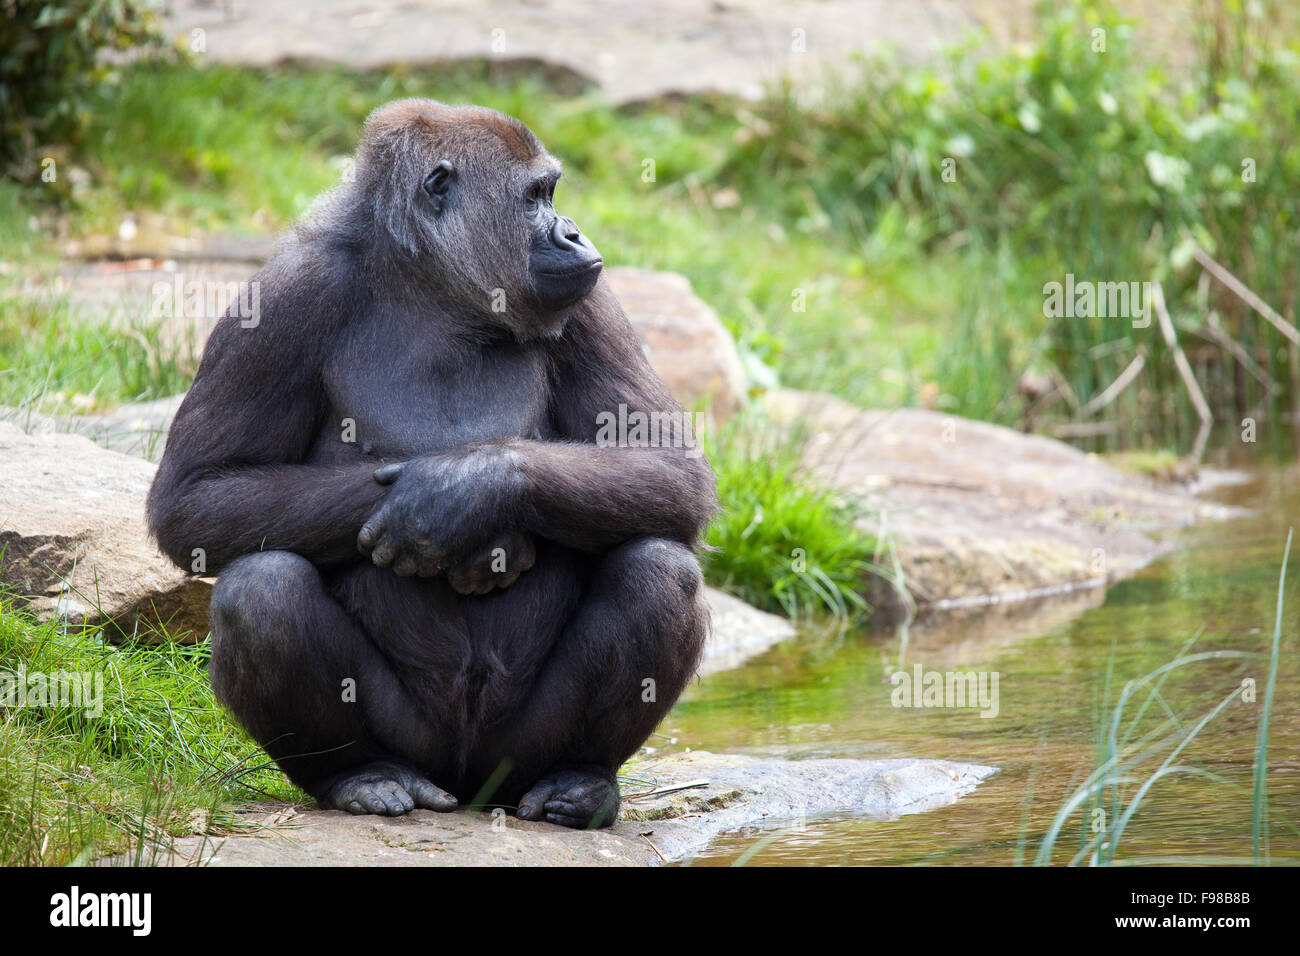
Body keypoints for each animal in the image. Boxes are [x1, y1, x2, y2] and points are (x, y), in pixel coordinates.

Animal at [152, 98, 722, 832]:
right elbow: (197, 498)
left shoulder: (591, 300)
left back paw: (580, 779)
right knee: (261, 590)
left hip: (513, 758)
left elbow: (667, 465)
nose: (573, 232)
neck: (433, 290)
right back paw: (361, 775)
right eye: (537, 196)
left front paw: (465, 492)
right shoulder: (282, 298)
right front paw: (453, 511)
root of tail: (467, 788)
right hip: (423, 747)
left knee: (659, 570)